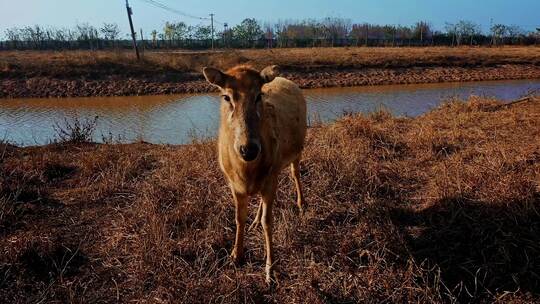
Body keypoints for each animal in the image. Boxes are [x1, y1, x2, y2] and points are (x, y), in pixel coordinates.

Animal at [202, 64, 306, 284]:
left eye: (259, 95)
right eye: (226, 97)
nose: (248, 149)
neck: (246, 171)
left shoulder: (271, 179)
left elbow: (269, 222)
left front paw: (270, 270)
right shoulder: (234, 185)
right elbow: (238, 218)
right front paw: (236, 255)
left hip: (297, 150)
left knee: (295, 173)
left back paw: (301, 203)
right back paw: (255, 221)